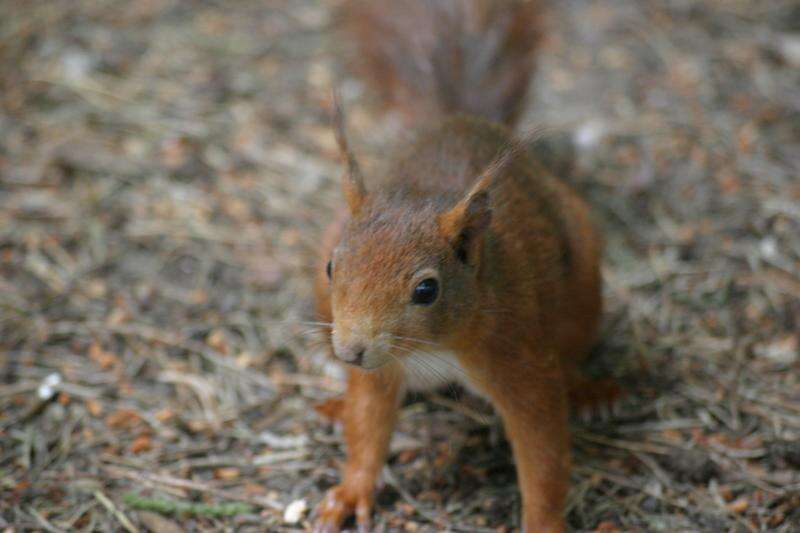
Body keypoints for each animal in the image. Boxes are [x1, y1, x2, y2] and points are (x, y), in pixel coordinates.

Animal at [310, 2, 600, 528]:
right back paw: (336, 405)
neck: (431, 348)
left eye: (427, 289)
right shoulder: (380, 370)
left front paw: (544, 524)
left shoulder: (520, 355)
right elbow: (368, 426)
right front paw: (350, 492)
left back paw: (591, 393)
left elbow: (544, 452)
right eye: (330, 267)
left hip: (584, 284)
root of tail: (456, 118)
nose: (351, 351)